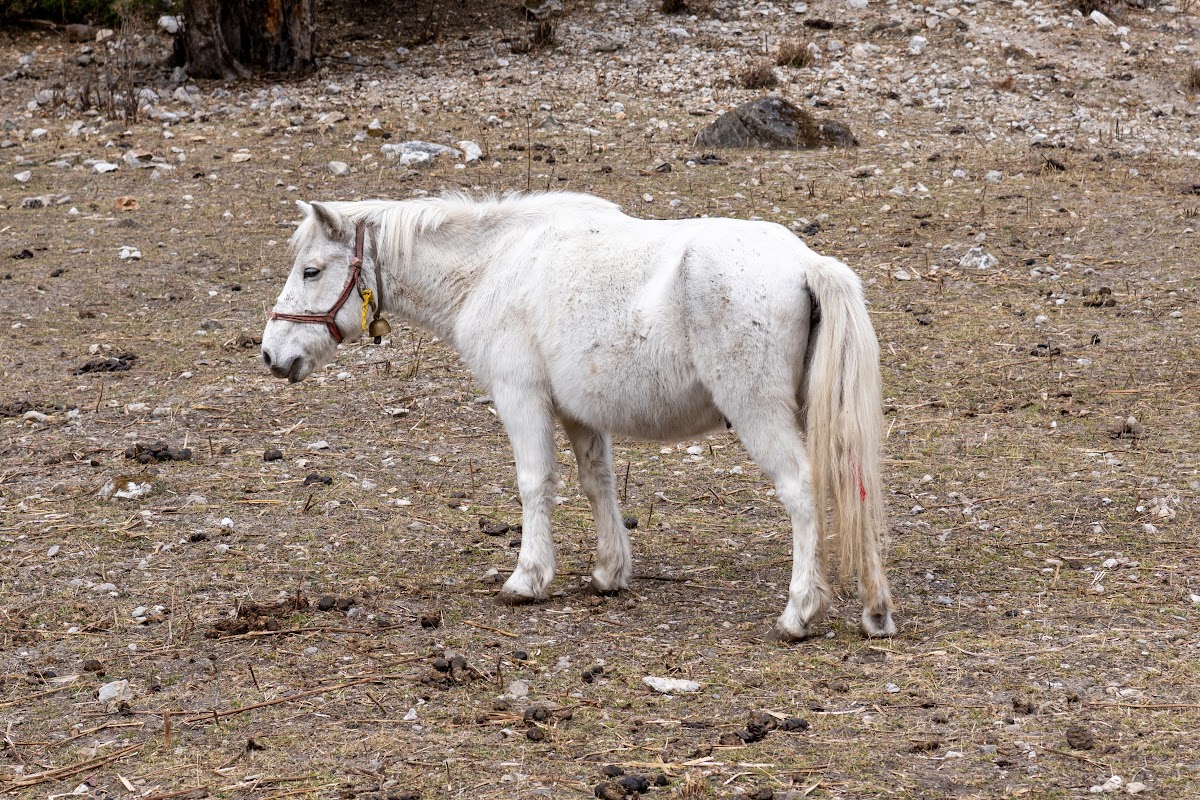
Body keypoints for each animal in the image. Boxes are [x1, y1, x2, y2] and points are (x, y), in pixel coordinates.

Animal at [265, 190, 902, 642]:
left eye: (312, 271)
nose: (272, 356)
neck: (495, 266)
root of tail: (806, 264)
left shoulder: (520, 396)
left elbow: (534, 483)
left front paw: (527, 579)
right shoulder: (578, 412)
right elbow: (598, 484)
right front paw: (608, 574)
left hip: (759, 414)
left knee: (802, 490)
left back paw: (799, 612)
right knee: (855, 483)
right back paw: (875, 611)